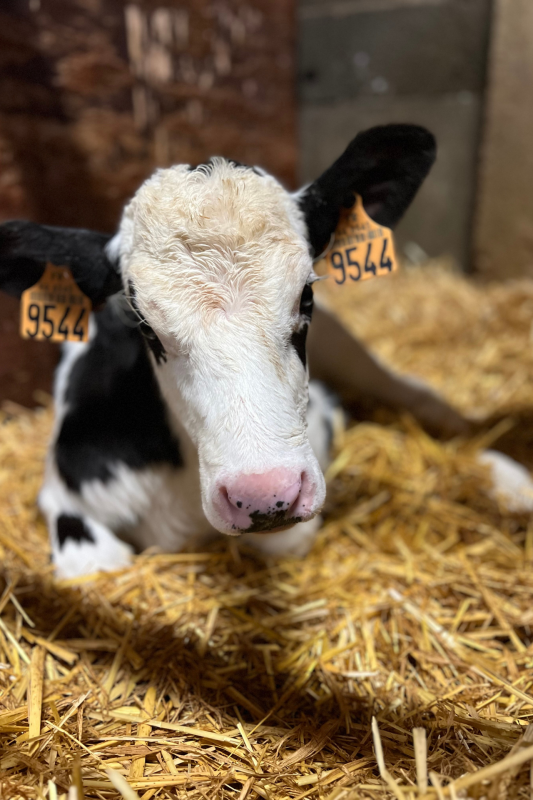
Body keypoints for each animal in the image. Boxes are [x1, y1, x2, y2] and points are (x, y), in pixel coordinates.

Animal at [0, 123, 466, 576]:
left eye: (306, 296)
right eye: (144, 325)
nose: (265, 495)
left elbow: (285, 540)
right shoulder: (65, 492)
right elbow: (95, 565)